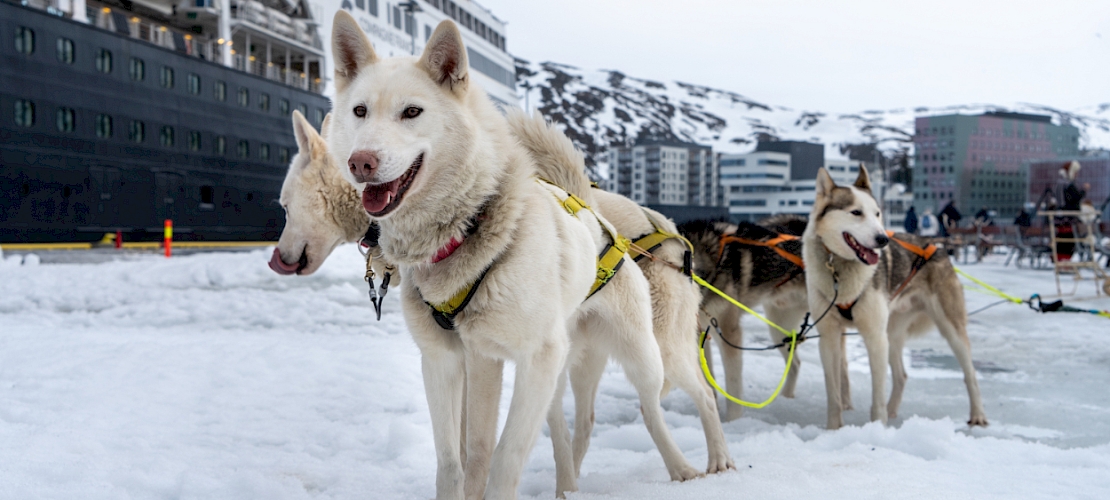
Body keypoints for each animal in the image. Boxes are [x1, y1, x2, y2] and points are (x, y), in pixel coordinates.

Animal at [324, 12, 697, 500]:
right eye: (359, 111)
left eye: (412, 112)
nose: (361, 162)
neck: (466, 230)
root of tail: (593, 213)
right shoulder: (446, 361)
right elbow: (457, 460)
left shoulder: (533, 357)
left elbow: (504, 459)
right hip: (546, 374)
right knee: (562, 433)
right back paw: (567, 487)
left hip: (636, 355)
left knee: (653, 410)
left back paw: (689, 468)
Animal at [799, 167, 990, 428]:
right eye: (856, 212)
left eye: (877, 213)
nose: (883, 239)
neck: (839, 269)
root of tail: (935, 246)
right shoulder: (829, 337)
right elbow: (833, 393)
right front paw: (833, 428)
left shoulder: (875, 337)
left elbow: (877, 395)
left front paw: (877, 429)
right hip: (892, 333)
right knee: (902, 375)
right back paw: (892, 410)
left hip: (949, 329)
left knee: (970, 373)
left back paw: (978, 414)